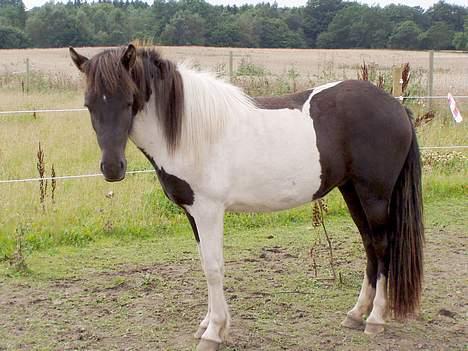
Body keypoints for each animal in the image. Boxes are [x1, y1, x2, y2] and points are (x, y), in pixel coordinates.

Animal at [69, 44, 424, 351]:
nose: (112, 168)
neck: (190, 132)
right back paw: (355, 314)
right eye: (89, 104)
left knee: (382, 247)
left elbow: (214, 267)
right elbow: (205, 262)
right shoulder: (193, 213)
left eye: (129, 101)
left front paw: (213, 332)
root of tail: (395, 106)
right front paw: (209, 322)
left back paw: (375, 319)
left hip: (374, 195)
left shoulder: (208, 210)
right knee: (370, 247)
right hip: (352, 192)